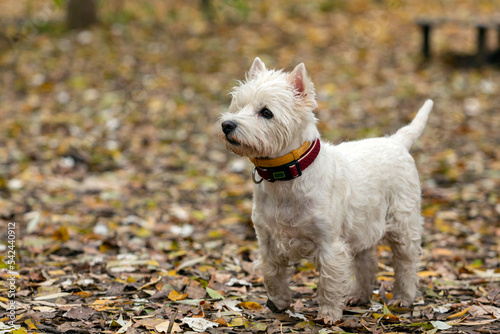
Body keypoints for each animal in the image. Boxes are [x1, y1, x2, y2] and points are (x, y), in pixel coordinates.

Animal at [221, 58, 432, 324]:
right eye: (238, 106)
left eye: (266, 112)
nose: (227, 125)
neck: (285, 177)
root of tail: (396, 141)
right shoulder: (267, 239)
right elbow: (272, 273)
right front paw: (278, 304)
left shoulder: (330, 243)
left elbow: (329, 282)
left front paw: (329, 315)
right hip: (362, 227)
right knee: (367, 262)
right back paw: (359, 296)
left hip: (403, 223)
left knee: (406, 262)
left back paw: (403, 298)